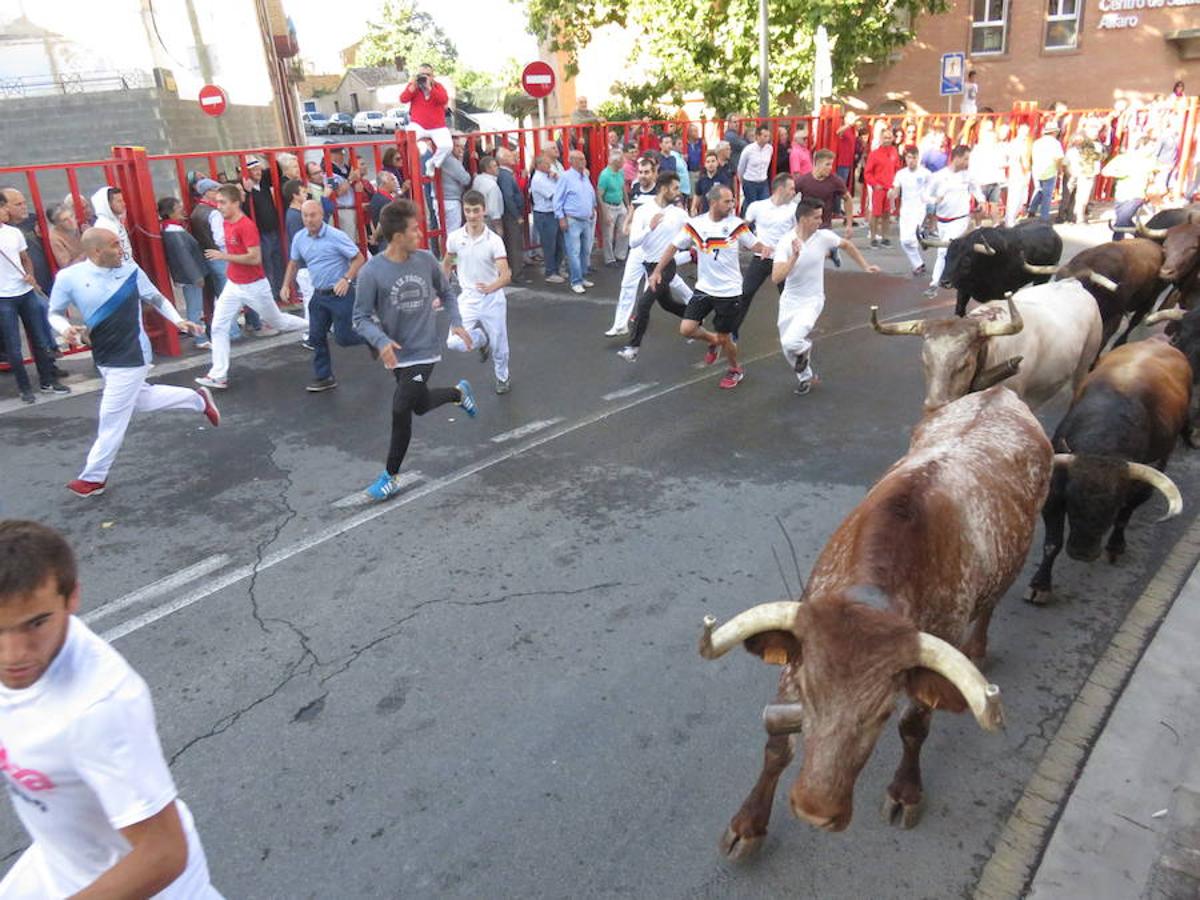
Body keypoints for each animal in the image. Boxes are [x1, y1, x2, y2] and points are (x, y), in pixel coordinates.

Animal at [700, 388, 1051, 859]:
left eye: (882, 711)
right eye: (808, 693)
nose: (814, 811)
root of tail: (1002, 392)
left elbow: (913, 728)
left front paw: (906, 792)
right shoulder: (796, 658)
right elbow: (776, 745)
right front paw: (749, 823)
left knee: (990, 605)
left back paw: (978, 648)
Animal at [868, 282, 1099, 412]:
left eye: (964, 364)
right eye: (924, 361)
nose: (934, 407)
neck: (991, 349)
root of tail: (1075, 285)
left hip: (1086, 361)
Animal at [921, 220, 1065, 316]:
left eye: (966, 261)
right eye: (946, 257)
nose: (944, 282)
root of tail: (1053, 232)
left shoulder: (1002, 295)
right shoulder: (963, 291)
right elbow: (959, 311)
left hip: (1043, 277)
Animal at [1022, 338, 1190, 607]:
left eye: (1113, 506)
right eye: (1072, 502)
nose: (1082, 553)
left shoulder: (1135, 491)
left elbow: (1123, 516)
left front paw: (1115, 546)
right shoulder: (1054, 494)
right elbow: (1052, 543)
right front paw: (1040, 585)